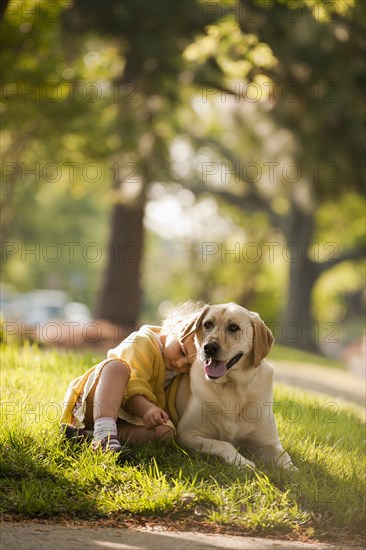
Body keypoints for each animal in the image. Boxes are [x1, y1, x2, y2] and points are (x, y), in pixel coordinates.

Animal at [174, 304, 294, 472]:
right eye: (207, 324)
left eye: (233, 327)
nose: (209, 347)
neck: (232, 387)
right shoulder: (188, 434)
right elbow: (225, 444)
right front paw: (242, 462)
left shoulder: (269, 443)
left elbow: (284, 457)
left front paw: (293, 471)